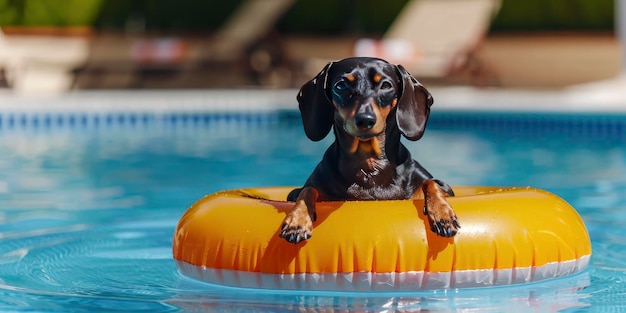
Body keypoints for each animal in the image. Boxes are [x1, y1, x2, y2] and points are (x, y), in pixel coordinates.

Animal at [278, 57, 458, 245]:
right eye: (341, 85)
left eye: (385, 85)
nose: (365, 120)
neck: (370, 165)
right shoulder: (303, 190)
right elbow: (307, 190)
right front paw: (297, 221)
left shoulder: (441, 186)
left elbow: (430, 183)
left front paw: (443, 215)